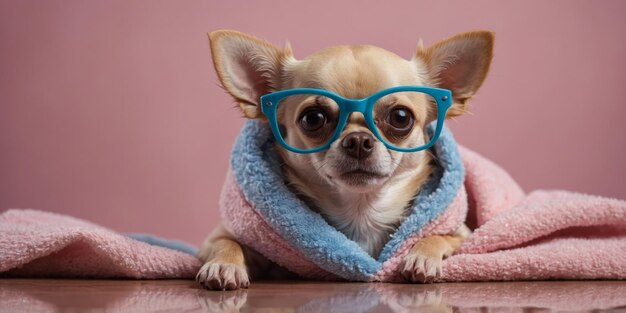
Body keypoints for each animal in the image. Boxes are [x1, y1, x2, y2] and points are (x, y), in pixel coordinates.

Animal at [197, 29, 490, 290]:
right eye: (313, 118)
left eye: (401, 117)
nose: (358, 140)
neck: (361, 212)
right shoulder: (220, 239)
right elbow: (227, 243)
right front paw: (224, 265)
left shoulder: (466, 237)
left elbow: (441, 236)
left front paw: (421, 256)